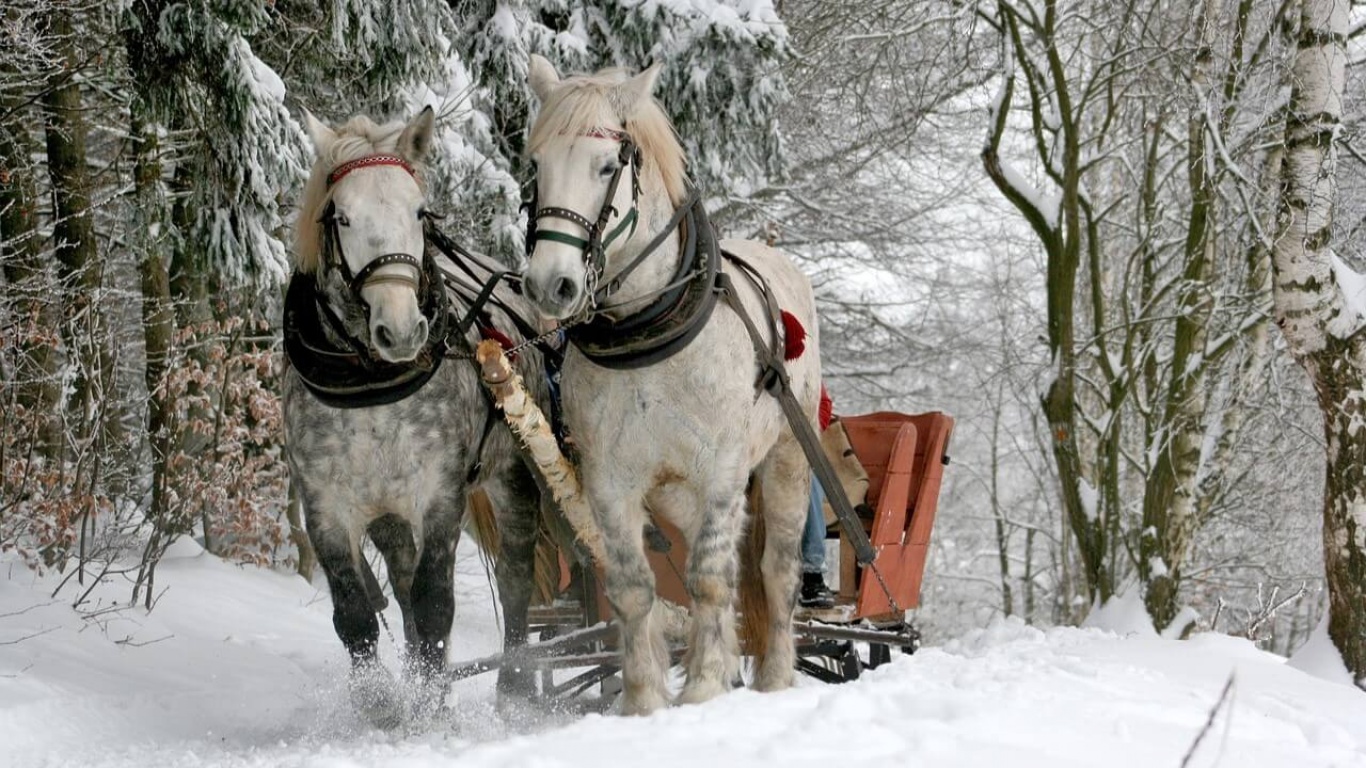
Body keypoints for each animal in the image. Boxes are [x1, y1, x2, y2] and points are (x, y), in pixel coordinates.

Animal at [521, 55, 819, 710]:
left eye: (607, 166)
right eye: (536, 165)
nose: (550, 285)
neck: (647, 334)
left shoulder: (723, 471)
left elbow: (708, 579)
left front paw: (704, 687)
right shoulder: (610, 481)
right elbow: (635, 587)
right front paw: (645, 700)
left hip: (786, 458)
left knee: (775, 570)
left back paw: (775, 677)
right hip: (676, 493)